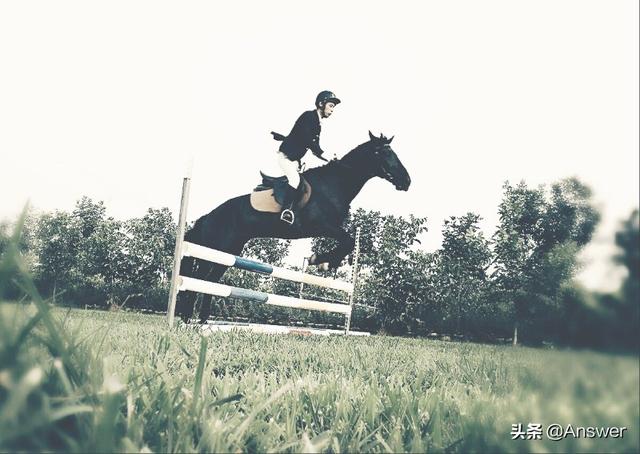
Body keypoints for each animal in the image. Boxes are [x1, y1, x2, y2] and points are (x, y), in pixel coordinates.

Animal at [178, 131, 412, 322]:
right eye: (383, 153)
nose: (407, 181)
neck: (335, 184)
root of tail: (208, 217)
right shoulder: (321, 226)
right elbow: (348, 240)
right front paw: (322, 261)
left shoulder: (329, 228)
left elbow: (348, 242)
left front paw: (327, 262)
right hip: (214, 250)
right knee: (198, 279)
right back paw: (187, 320)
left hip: (228, 253)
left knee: (211, 282)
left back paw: (202, 321)